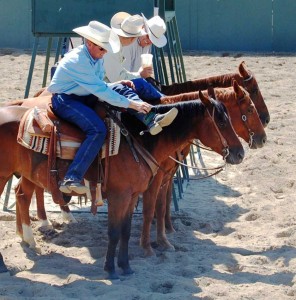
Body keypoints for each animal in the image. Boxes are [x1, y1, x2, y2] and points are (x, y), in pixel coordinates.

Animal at [0, 92, 243, 278]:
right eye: (221, 121)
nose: (239, 153)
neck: (138, 140)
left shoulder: (133, 194)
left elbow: (125, 231)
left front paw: (126, 266)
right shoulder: (120, 196)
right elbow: (115, 231)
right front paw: (111, 268)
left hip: (28, 175)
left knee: (22, 195)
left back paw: (28, 240)